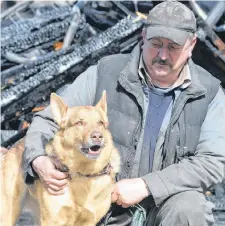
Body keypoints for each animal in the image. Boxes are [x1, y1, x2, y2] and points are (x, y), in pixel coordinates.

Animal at [0, 91, 119, 225]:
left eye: (100, 123)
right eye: (79, 123)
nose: (98, 136)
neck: (82, 173)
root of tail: (11, 148)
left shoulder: (89, 221)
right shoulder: (52, 220)